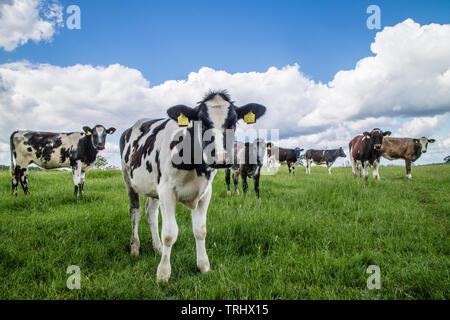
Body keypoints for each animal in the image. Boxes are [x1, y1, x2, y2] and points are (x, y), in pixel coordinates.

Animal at [120, 90, 268, 282]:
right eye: (203, 122)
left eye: (234, 122)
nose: (220, 159)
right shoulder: (167, 191)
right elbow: (169, 233)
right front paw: (163, 274)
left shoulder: (205, 193)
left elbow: (200, 231)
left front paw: (203, 266)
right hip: (128, 179)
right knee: (135, 213)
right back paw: (135, 247)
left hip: (153, 188)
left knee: (151, 214)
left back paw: (157, 248)